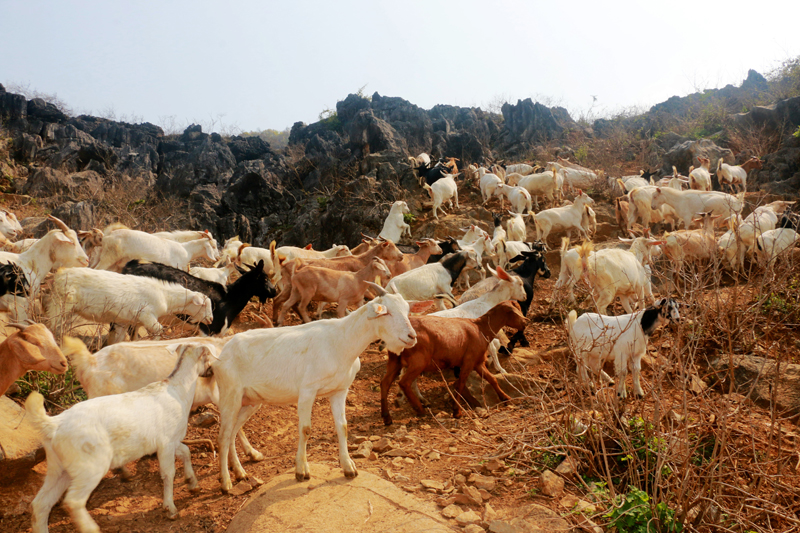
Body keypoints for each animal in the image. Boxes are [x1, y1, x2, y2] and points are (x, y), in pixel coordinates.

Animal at [27, 342, 216, 528]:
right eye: (207, 356)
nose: (212, 371)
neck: (178, 391)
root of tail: (54, 424)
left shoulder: (173, 440)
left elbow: (186, 452)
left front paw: (193, 484)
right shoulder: (166, 443)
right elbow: (169, 473)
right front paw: (170, 508)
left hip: (58, 468)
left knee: (40, 504)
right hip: (90, 466)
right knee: (73, 501)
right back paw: (92, 528)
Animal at [380, 300, 524, 424]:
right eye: (515, 312)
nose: (525, 322)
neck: (480, 328)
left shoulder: (477, 363)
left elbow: (492, 379)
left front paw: (506, 399)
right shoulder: (468, 362)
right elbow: (460, 385)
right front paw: (457, 412)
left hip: (395, 361)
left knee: (385, 383)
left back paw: (387, 417)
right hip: (418, 361)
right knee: (404, 382)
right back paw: (419, 409)